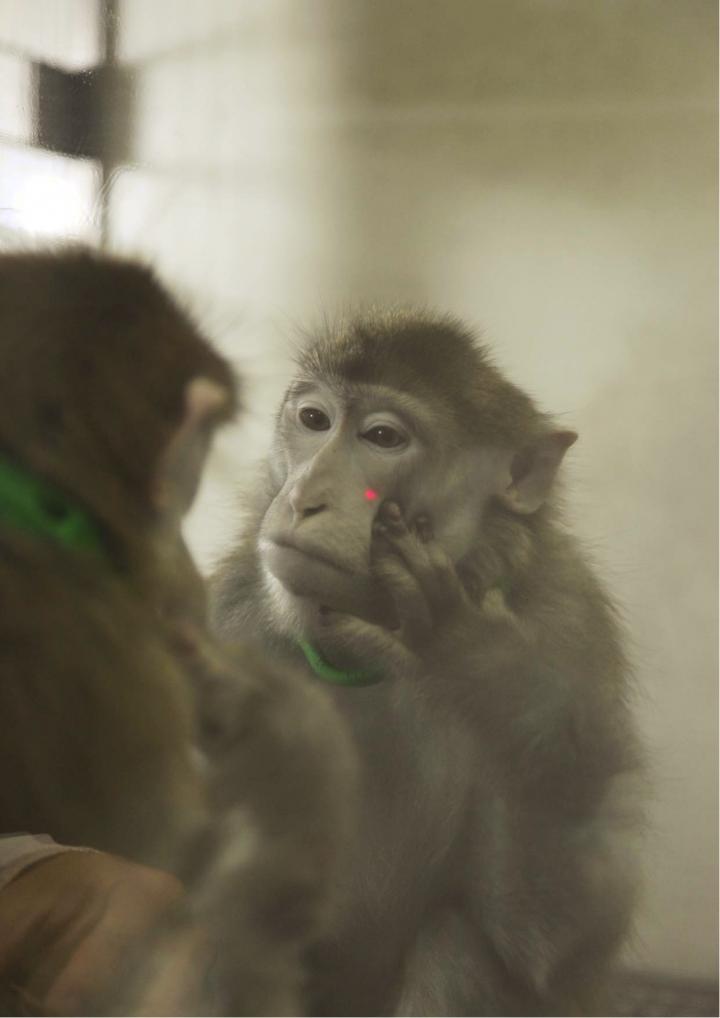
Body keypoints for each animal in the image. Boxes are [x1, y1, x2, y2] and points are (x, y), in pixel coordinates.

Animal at [212, 310, 645, 1017]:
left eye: (383, 437)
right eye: (313, 420)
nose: (303, 496)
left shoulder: (570, 633)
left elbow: (549, 951)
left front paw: (477, 662)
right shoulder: (230, 619)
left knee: (458, 944)